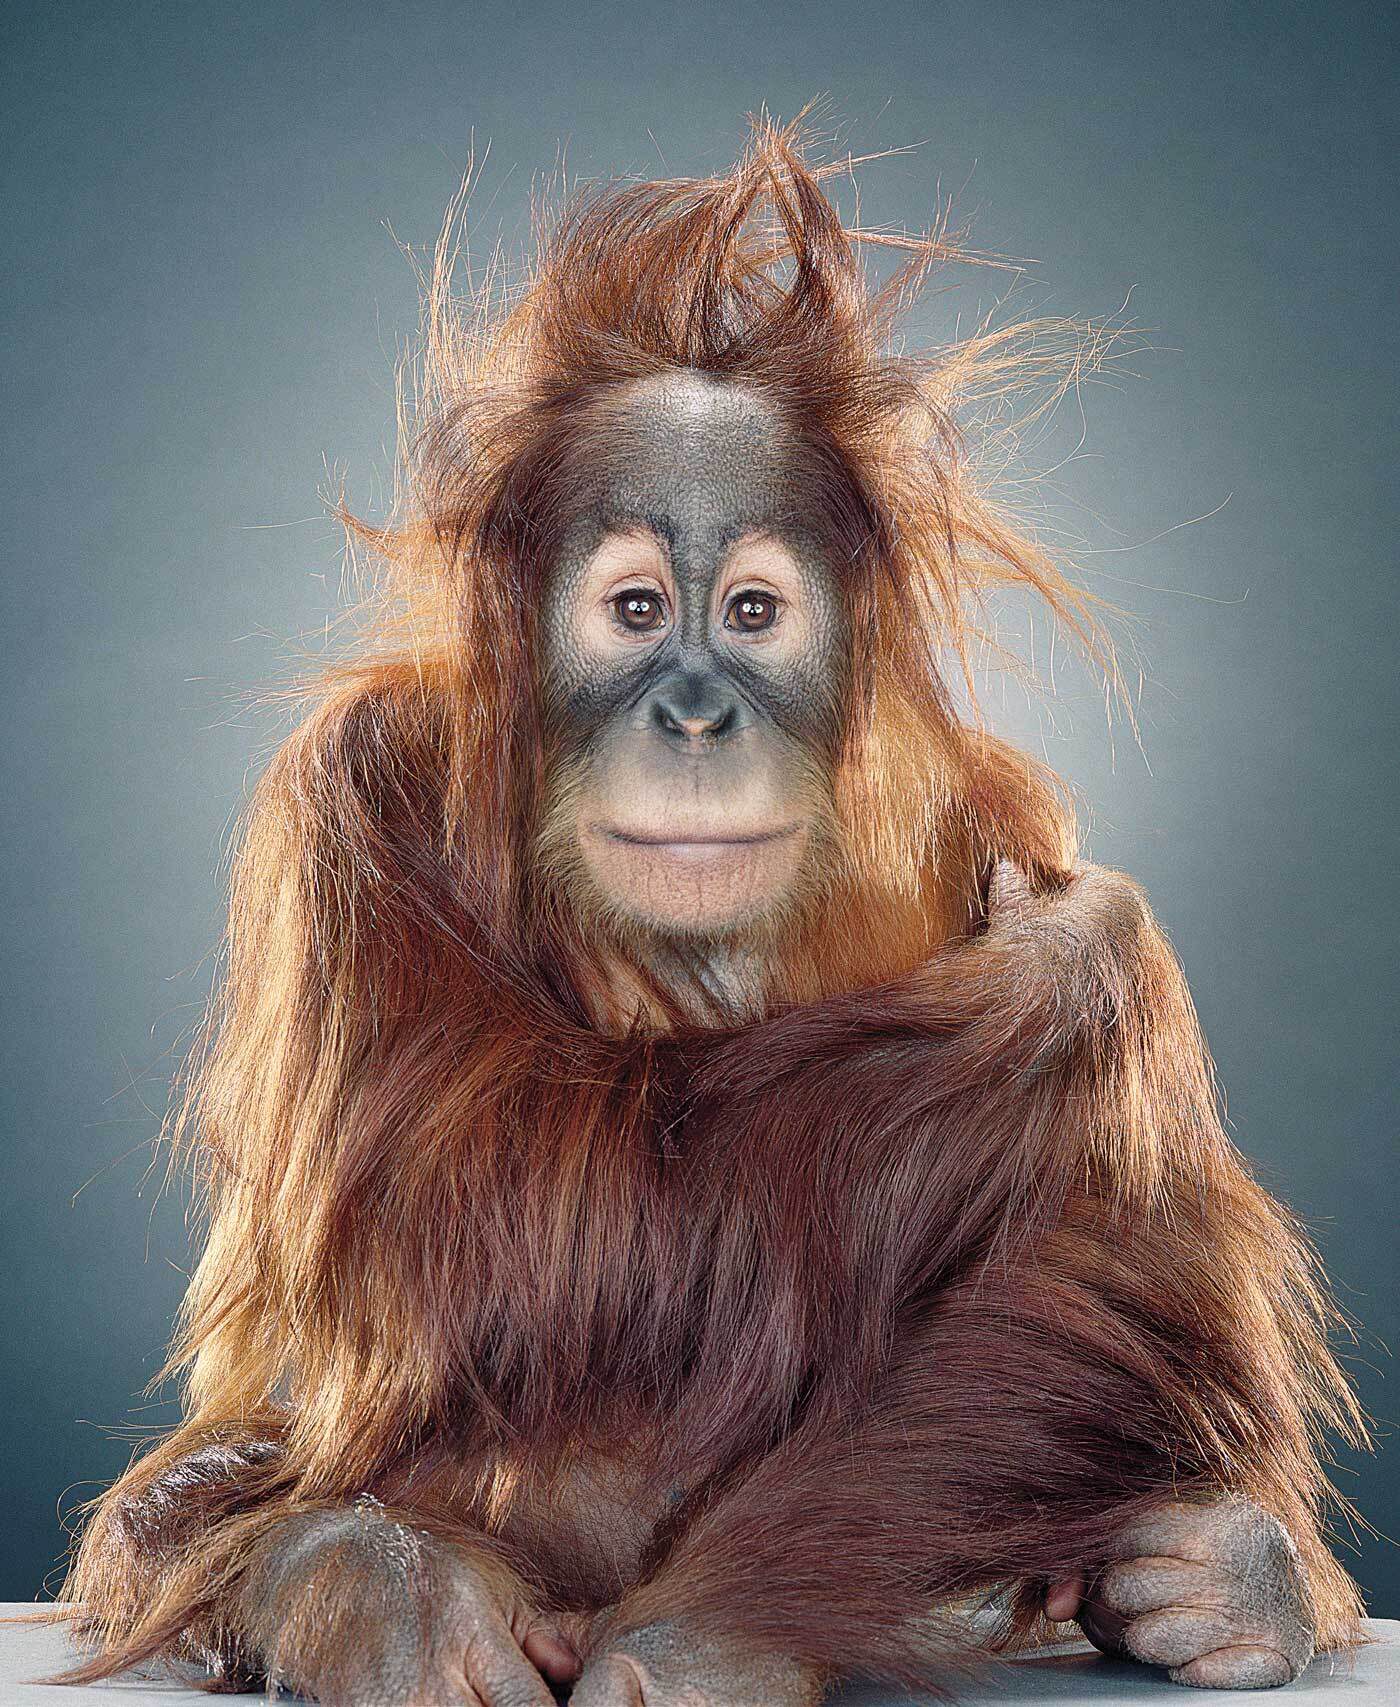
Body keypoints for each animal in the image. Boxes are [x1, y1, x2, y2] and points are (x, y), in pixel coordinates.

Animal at [51, 118, 1367, 1705]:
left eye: (749, 612)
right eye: (632, 611)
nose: (691, 710)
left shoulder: (985, 809)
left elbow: (1099, 1239)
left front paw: (705, 1639)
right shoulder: (351, 798)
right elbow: (517, 1201)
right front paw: (1075, 962)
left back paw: (1217, 1574)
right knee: (207, 1493)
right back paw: (376, 1589)